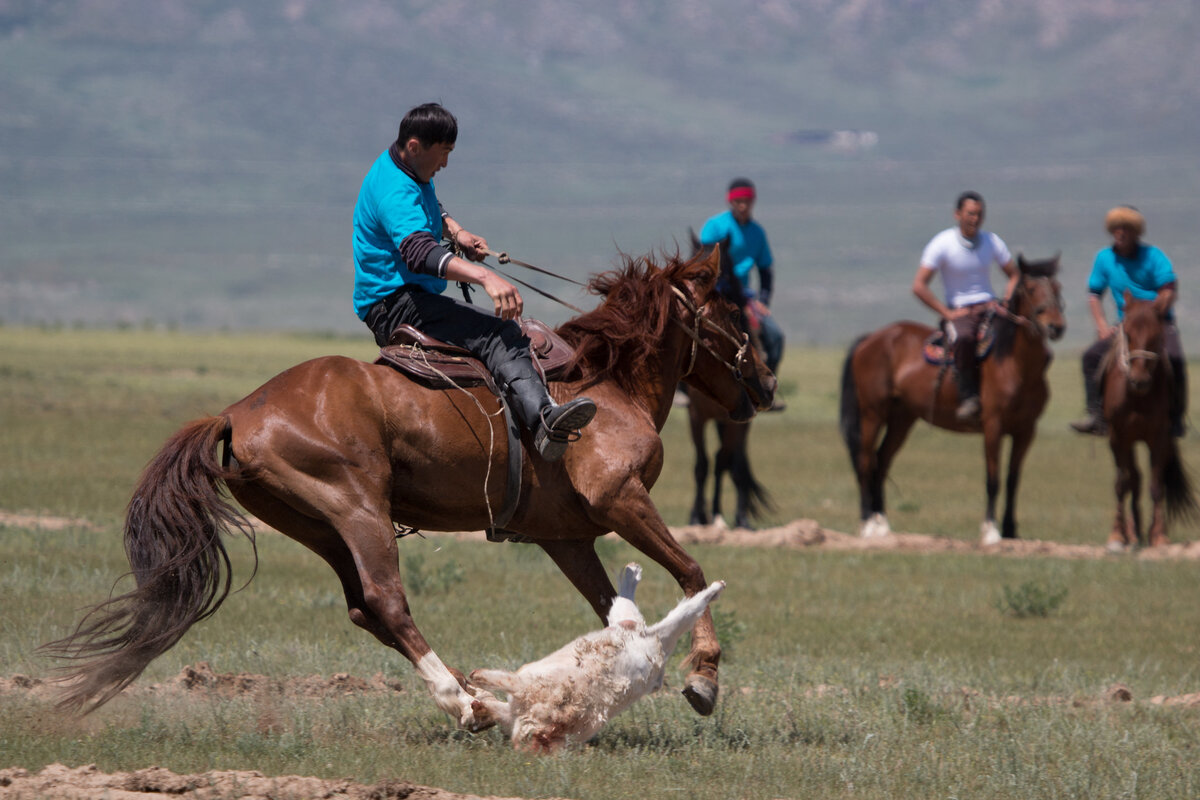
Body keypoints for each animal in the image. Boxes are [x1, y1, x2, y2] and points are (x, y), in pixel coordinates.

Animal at [42, 248, 772, 734]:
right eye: (735, 309)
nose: (765, 384)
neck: (607, 384)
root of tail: (237, 412)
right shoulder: (621, 501)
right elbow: (692, 573)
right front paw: (703, 678)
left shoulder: (565, 538)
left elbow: (614, 616)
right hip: (358, 509)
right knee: (389, 603)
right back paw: (466, 702)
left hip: (318, 526)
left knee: (364, 608)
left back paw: (482, 702)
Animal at [840, 256, 1065, 544]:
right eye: (1031, 288)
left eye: (1057, 287)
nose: (1056, 326)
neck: (1017, 365)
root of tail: (869, 339)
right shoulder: (993, 426)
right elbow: (993, 479)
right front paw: (990, 531)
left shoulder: (1026, 431)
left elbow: (1013, 480)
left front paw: (1010, 531)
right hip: (872, 413)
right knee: (865, 461)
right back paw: (868, 524)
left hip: (902, 419)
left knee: (881, 462)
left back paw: (882, 526)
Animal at [1099, 293, 1195, 551]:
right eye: (1129, 334)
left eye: (1155, 336)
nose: (1139, 380)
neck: (1137, 398)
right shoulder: (1117, 437)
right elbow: (1121, 483)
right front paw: (1117, 535)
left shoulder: (1159, 437)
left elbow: (1156, 485)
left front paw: (1159, 535)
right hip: (1128, 441)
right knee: (1133, 478)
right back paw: (1132, 533)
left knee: (1142, 478)